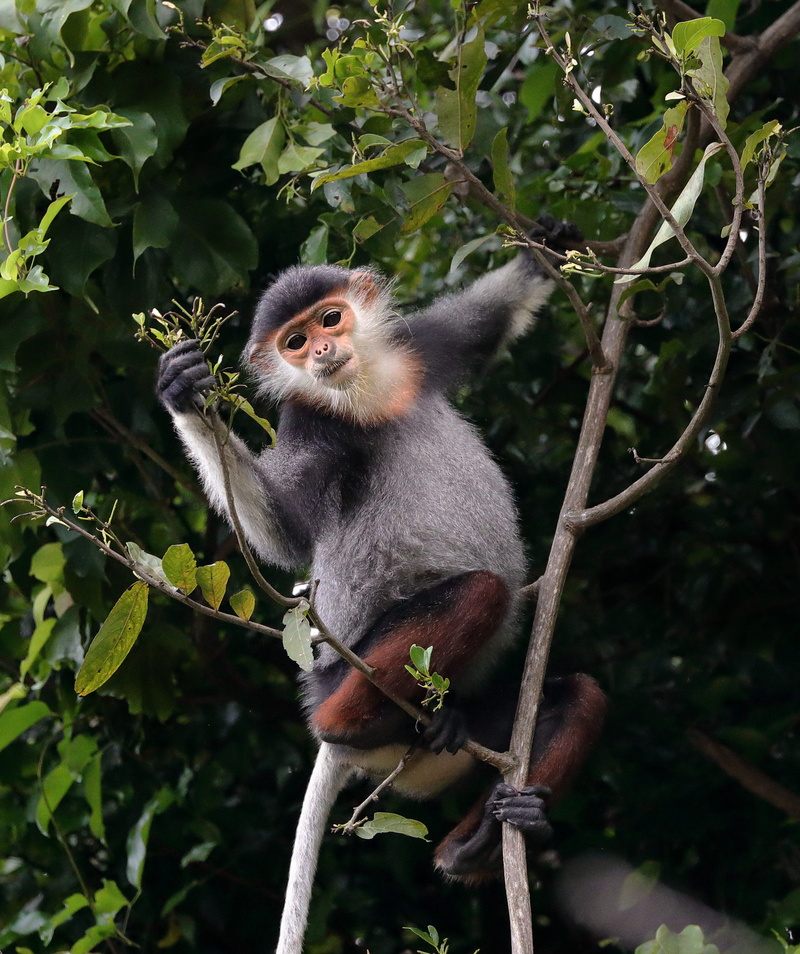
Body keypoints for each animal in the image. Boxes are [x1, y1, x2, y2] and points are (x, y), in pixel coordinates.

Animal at [156, 242, 607, 954]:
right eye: (292, 341)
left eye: (330, 319)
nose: (319, 352)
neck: (363, 392)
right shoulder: (310, 422)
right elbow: (286, 529)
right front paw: (182, 393)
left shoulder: (414, 352)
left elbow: (481, 328)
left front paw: (546, 249)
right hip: (346, 667)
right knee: (482, 590)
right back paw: (353, 724)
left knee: (578, 696)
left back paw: (487, 834)